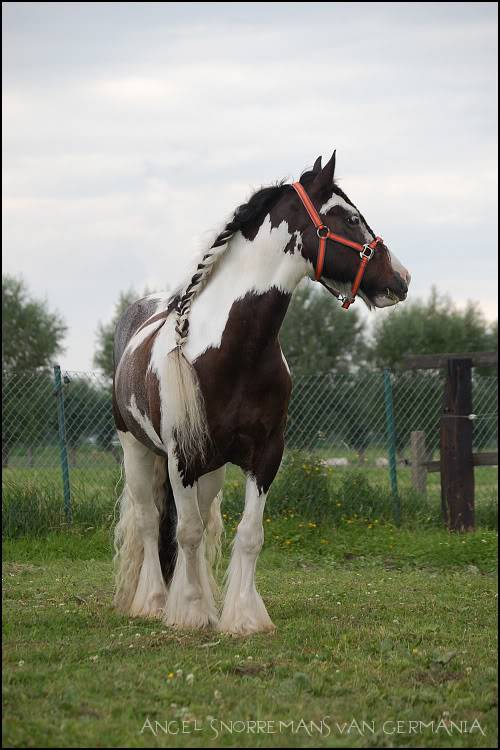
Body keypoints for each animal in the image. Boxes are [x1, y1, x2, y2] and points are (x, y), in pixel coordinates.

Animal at [110, 151, 410, 636]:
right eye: (349, 218)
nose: (401, 278)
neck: (232, 349)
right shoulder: (181, 456)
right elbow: (184, 532)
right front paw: (189, 611)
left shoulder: (265, 454)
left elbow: (248, 535)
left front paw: (243, 616)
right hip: (137, 450)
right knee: (149, 520)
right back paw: (154, 601)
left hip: (211, 469)